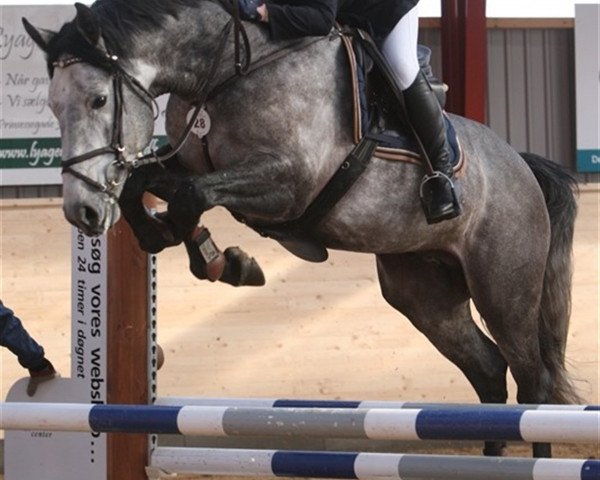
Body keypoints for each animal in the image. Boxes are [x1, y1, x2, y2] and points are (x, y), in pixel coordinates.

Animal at [24, 0, 580, 458]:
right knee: (488, 373)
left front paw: (224, 260)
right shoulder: (193, 163)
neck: (223, 70)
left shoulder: (289, 182)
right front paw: (191, 247)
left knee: (532, 383)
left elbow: (189, 196)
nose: (82, 212)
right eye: (52, 105)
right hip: (424, 293)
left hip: (503, 289)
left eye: (98, 100)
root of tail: (523, 166)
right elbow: (146, 183)